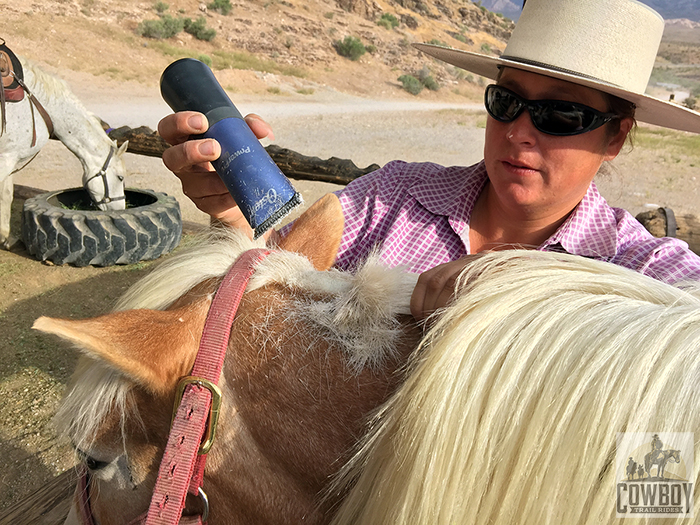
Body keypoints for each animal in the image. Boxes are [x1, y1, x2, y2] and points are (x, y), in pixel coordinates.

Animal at [0, 46, 126, 248]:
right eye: (120, 177)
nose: (120, 208)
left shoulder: (11, 156)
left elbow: (6, 194)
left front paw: (4, 236)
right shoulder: (6, 158)